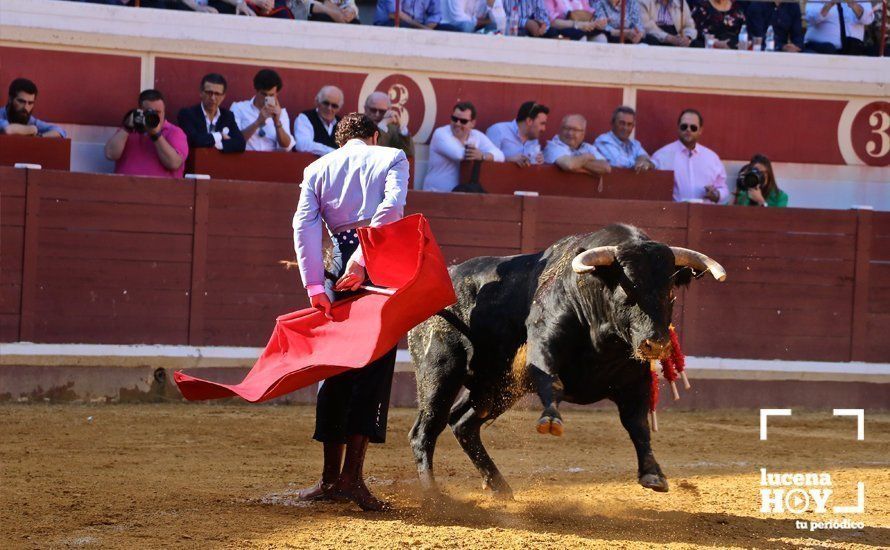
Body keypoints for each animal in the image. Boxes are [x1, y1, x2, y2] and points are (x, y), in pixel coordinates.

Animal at [406, 224, 724, 500]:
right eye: (627, 291)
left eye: (670, 293)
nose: (656, 344)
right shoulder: (542, 347)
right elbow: (552, 382)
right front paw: (550, 419)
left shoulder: (635, 380)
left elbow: (637, 423)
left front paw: (653, 474)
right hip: (440, 373)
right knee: (425, 432)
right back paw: (434, 496)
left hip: (495, 388)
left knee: (462, 423)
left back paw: (500, 488)